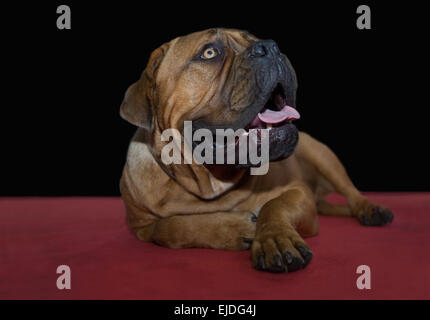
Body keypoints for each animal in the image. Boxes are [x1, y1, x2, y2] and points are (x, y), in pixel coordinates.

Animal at [118, 28, 394, 272]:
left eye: (254, 38)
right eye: (209, 52)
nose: (271, 47)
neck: (212, 183)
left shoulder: (298, 192)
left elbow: (275, 205)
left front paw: (275, 237)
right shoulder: (142, 226)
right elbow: (168, 227)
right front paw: (234, 228)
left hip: (323, 156)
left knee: (350, 192)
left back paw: (370, 209)